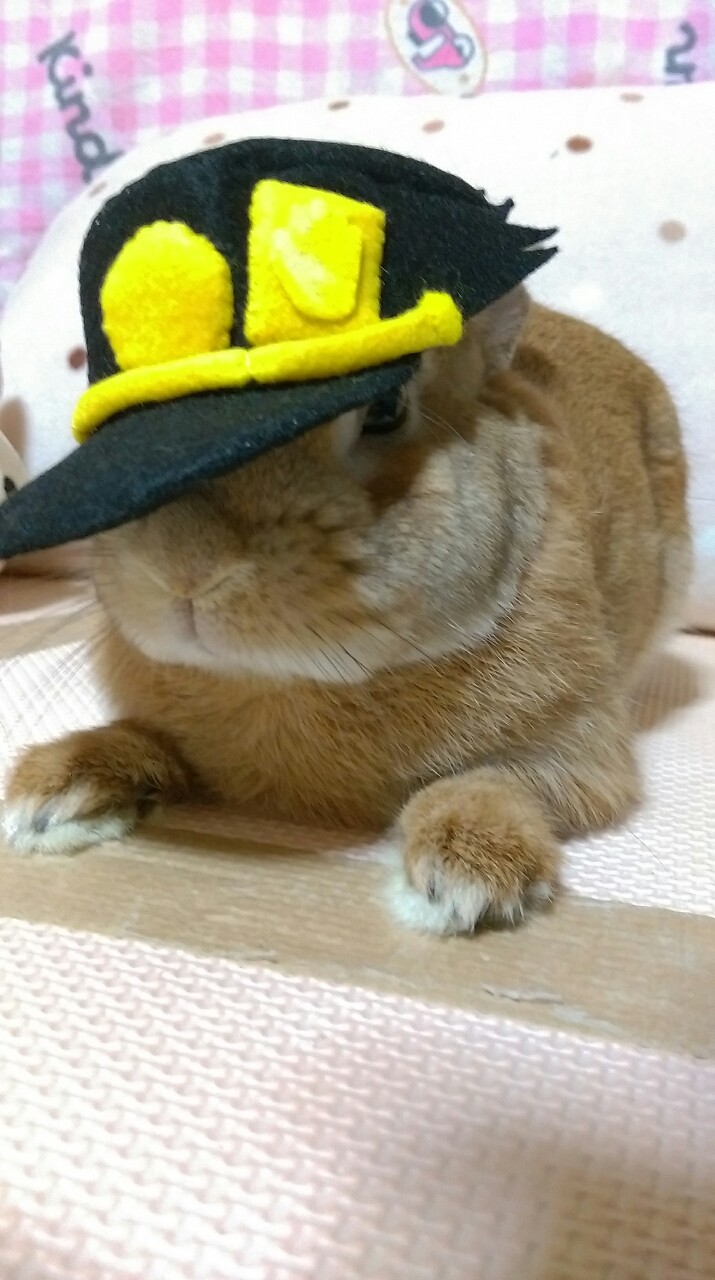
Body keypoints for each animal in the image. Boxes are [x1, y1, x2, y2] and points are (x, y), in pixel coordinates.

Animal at [3, 287, 691, 933]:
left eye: (386, 411)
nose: (185, 567)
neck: (284, 679)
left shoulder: (577, 748)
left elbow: (495, 782)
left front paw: (463, 879)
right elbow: (143, 741)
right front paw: (51, 796)